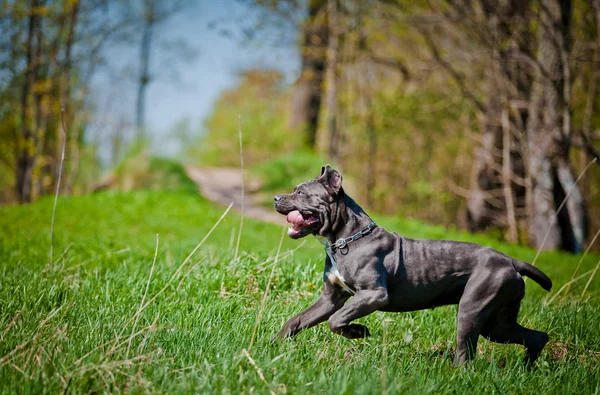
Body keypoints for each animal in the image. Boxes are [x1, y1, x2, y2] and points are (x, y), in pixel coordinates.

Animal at [272, 166, 552, 366]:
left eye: (300, 193)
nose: (275, 197)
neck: (344, 240)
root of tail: (511, 260)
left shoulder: (374, 295)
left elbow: (336, 320)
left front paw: (358, 331)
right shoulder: (331, 297)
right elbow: (297, 320)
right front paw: (273, 344)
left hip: (472, 309)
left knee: (465, 354)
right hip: (497, 322)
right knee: (536, 337)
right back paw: (526, 367)